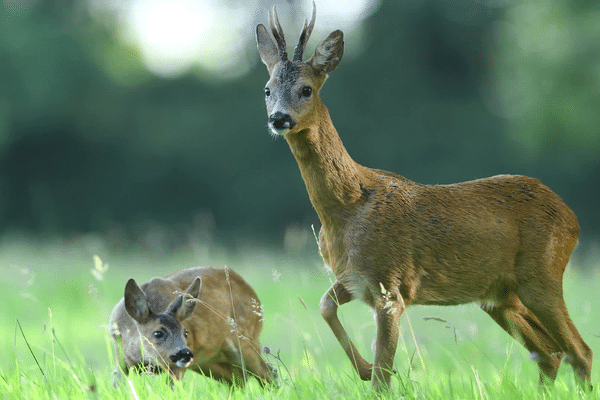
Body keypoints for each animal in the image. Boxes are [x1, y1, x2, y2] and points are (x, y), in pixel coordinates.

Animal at [109, 268, 274, 386]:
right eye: (157, 333)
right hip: (212, 361)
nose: (185, 353)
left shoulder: (178, 367)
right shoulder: (120, 358)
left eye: (185, 333)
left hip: (245, 340)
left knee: (269, 372)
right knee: (237, 380)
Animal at [254, 3, 592, 390]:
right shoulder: (353, 278)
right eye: (267, 89)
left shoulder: (391, 285)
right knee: (550, 353)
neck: (347, 209)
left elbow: (383, 375)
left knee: (579, 351)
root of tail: (572, 217)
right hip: (499, 297)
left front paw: (371, 370)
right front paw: (362, 367)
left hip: (542, 275)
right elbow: (326, 305)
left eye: (306, 89)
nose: (279, 119)